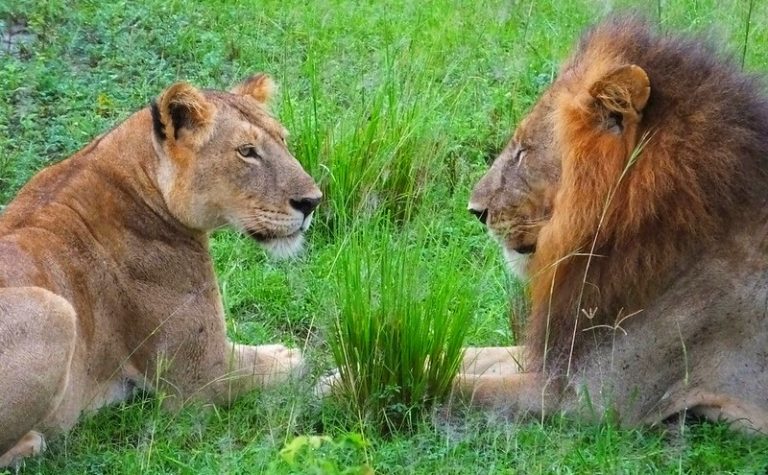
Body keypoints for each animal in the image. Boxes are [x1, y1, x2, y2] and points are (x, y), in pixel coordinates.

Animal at [0, 74, 322, 466]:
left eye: (283, 141)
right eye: (246, 151)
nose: (312, 202)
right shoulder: (201, 377)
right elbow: (287, 366)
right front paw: (287, 354)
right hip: (55, 310)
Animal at [461, 17, 768, 433]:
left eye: (523, 151)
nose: (476, 210)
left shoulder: (594, 400)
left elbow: (458, 388)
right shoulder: (566, 352)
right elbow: (466, 356)